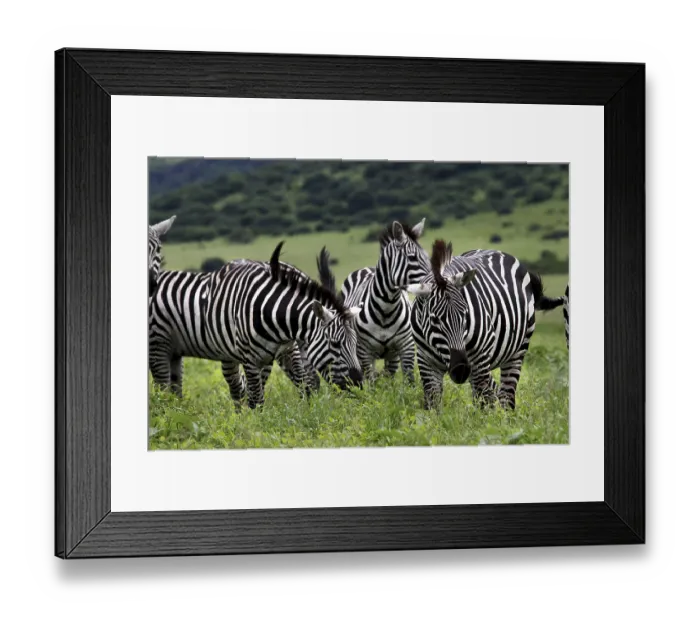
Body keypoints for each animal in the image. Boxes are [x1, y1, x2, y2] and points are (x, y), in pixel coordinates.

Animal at [149, 241, 363, 409]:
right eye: (335, 344)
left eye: (355, 344)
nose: (359, 385)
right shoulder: (251, 359)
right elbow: (257, 398)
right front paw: (257, 428)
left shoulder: (275, 354)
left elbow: (299, 384)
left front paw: (309, 412)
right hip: (159, 346)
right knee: (165, 389)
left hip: (180, 352)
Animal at [333, 220, 431, 381]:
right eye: (412, 258)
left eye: (428, 257)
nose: (441, 281)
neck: (386, 308)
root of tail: (367, 268)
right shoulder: (364, 352)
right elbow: (371, 383)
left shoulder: (406, 346)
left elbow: (409, 379)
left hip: (392, 355)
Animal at [408, 241, 564, 410]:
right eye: (434, 320)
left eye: (465, 314)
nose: (461, 370)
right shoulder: (426, 361)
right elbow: (433, 404)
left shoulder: (479, 359)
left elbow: (484, 406)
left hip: (517, 349)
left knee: (505, 398)